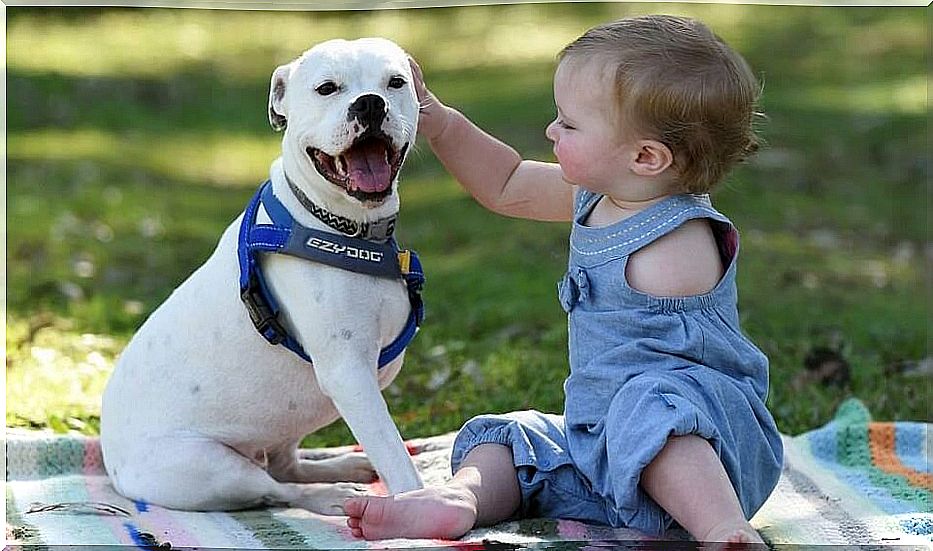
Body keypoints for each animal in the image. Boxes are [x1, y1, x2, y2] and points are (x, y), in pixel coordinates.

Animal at [101, 37, 422, 512]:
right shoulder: (349, 375)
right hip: (210, 469)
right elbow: (395, 456)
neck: (341, 226)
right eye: (327, 88)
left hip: (288, 417)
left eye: (395, 82)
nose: (369, 103)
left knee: (285, 466)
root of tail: (111, 462)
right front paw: (425, 505)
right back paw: (332, 497)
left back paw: (341, 468)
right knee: (276, 489)